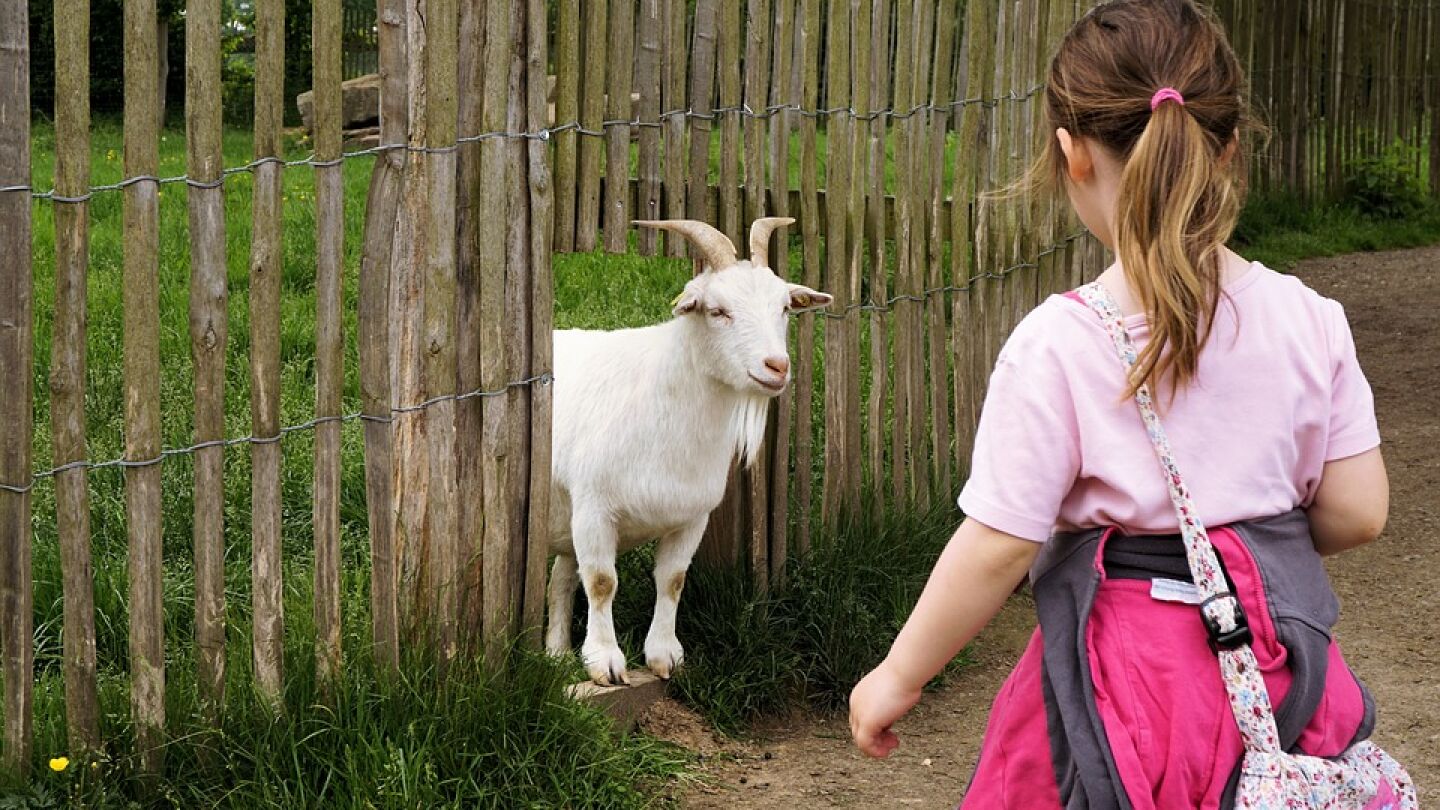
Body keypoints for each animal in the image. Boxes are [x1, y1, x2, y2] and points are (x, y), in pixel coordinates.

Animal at [546, 217, 833, 686]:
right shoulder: (594, 509)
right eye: (717, 311)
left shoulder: (691, 517)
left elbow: (673, 580)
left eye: (785, 309)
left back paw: (554, 653)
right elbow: (603, 582)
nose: (777, 366)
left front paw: (664, 655)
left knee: (560, 578)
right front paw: (605, 661)